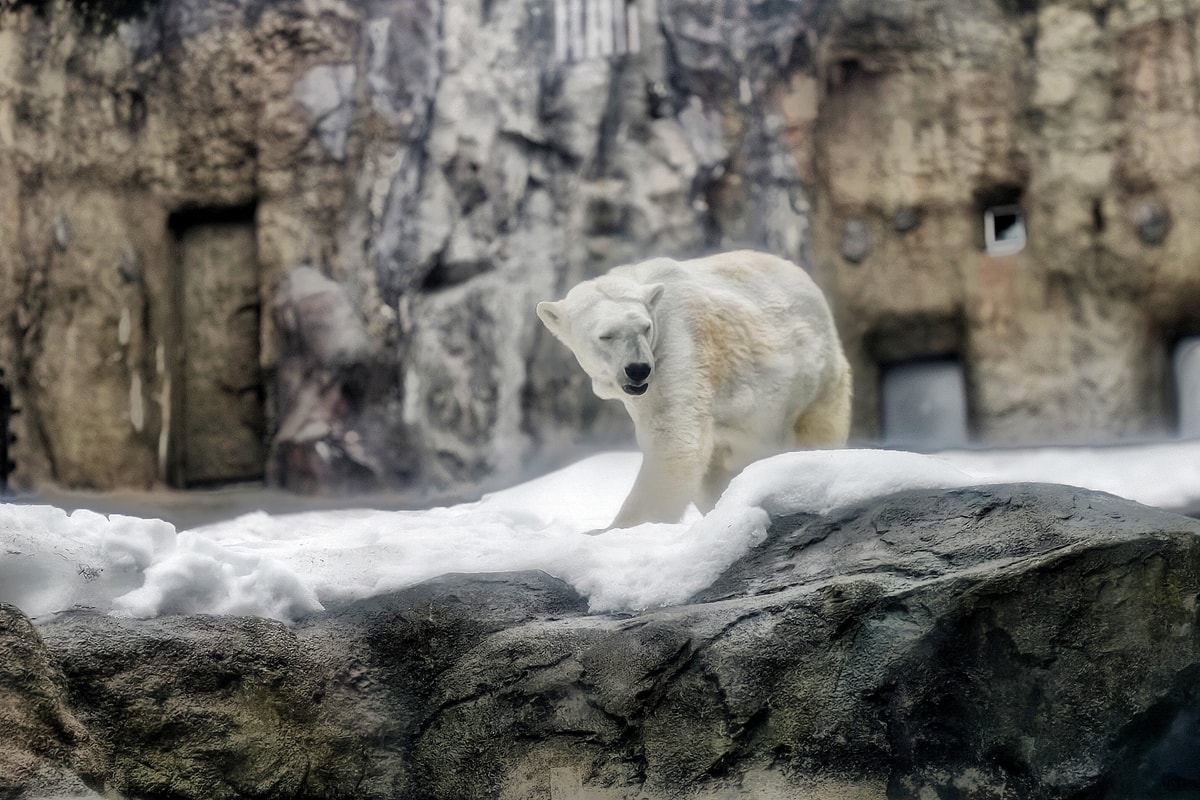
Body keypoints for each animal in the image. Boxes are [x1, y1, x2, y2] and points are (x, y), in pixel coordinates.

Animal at [536, 249, 852, 529]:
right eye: (606, 335)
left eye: (645, 327)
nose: (638, 369)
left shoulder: (678, 343)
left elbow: (674, 442)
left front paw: (614, 529)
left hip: (814, 377)